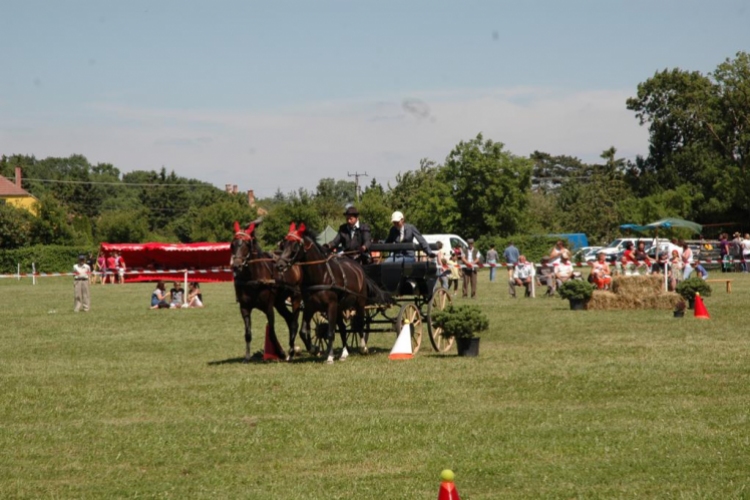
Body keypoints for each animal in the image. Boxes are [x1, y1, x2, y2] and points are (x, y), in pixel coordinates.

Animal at [229, 221, 312, 362]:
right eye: (232, 244)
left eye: (246, 244)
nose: (236, 265)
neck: (252, 278)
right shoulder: (244, 308)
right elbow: (248, 333)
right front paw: (247, 357)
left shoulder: (268, 307)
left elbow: (272, 332)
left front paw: (281, 353)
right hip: (279, 302)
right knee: (289, 319)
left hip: (296, 296)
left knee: (294, 323)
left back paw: (297, 349)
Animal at [276, 223, 394, 364]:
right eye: (283, 244)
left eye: (295, 245)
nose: (279, 265)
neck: (321, 275)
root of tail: (360, 269)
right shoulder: (310, 307)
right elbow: (304, 331)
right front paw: (314, 349)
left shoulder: (331, 305)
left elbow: (330, 332)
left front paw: (330, 356)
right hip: (340, 307)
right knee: (343, 328)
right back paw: (344, 353)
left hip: (359, 303)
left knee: (360, 324)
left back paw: (363, 348)